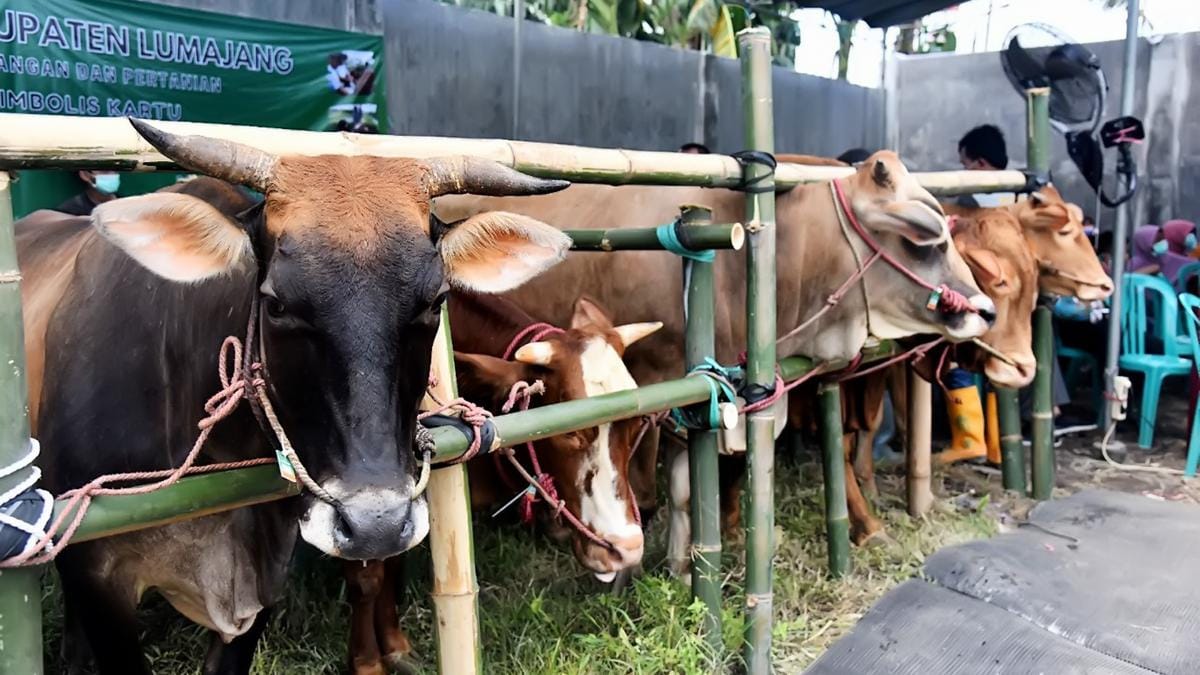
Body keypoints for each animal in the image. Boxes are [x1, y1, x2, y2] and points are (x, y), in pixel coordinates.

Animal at [343, 293, 652, 672]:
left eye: (635, 422)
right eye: (572, 432)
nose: (626, 548)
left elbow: (393, 561)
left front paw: (395, 645)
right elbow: (367, 578)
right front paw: (367, 663)